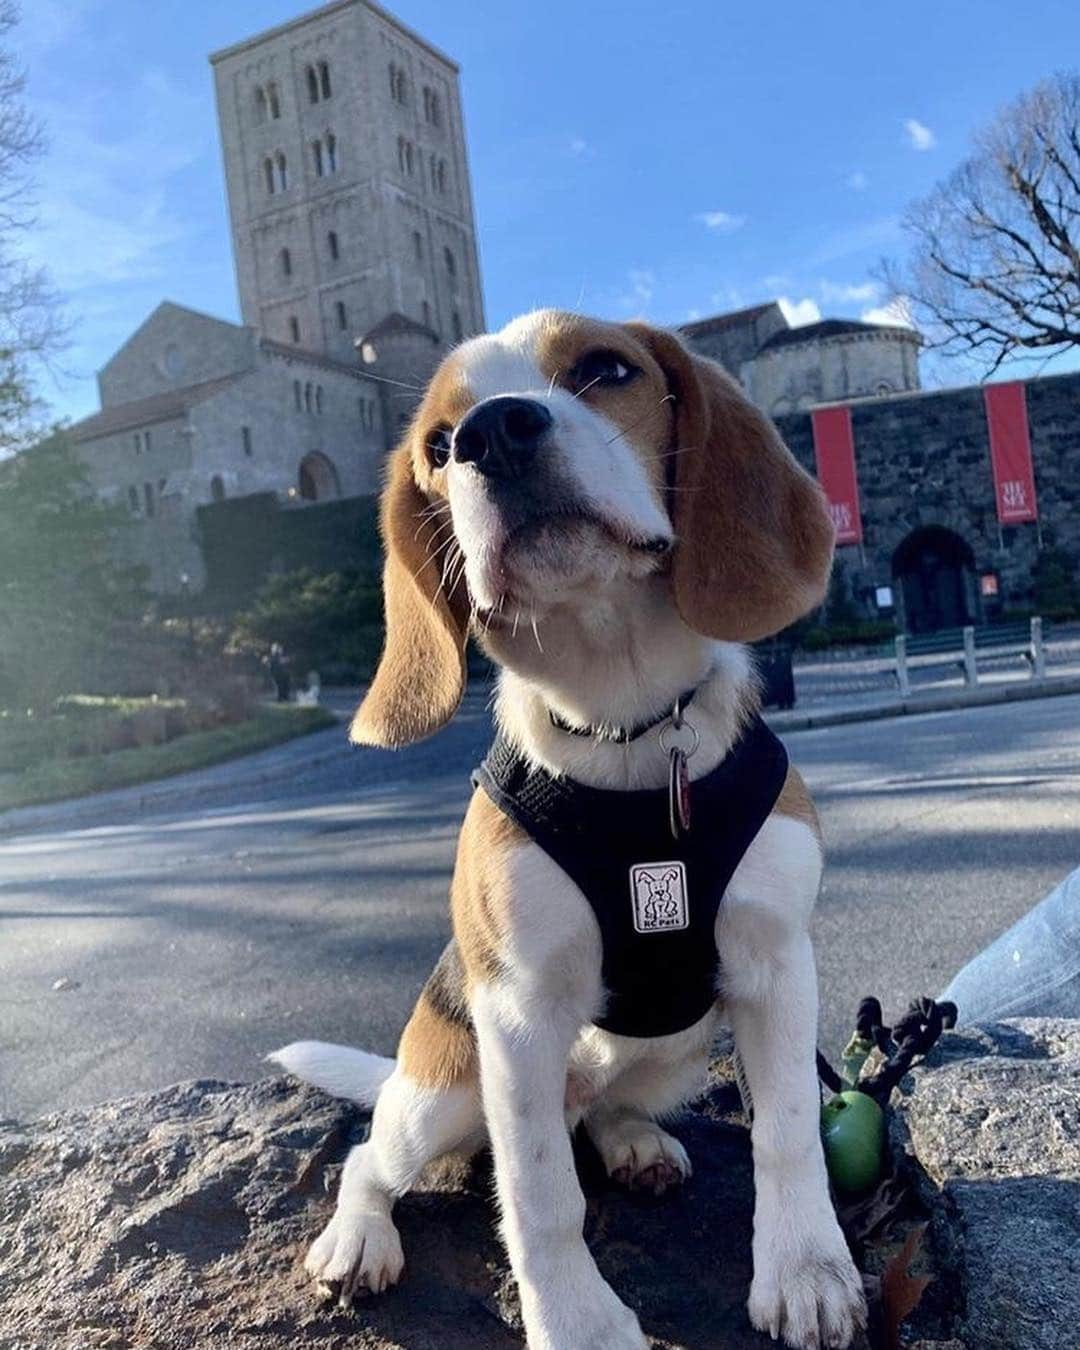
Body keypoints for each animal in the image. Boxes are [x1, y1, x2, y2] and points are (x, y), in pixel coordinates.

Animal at [274, 310, 864, 1344]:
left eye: (604, 370)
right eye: (437, 446)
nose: (493, 434)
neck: (626, 726)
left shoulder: (777, 966)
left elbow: (789, 1132)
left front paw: (805, 1269)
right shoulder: (517, 1013)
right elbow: (542, 1194)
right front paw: (580, 1321)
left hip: (675, 1057)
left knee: (602, 1111)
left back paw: (632, 1140)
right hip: (441, 1090)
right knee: (371, 1158)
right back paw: (358, 1237)